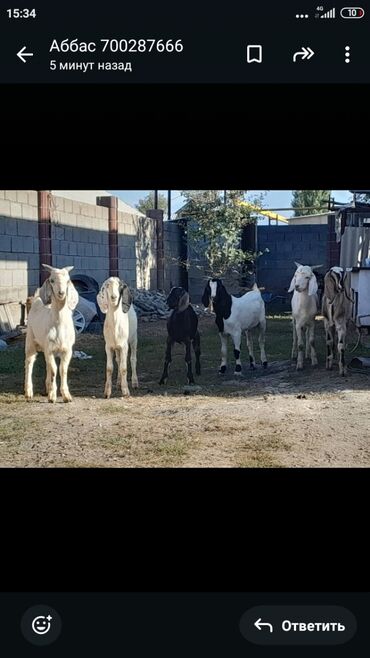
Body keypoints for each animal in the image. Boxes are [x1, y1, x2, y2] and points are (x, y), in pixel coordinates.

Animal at [24, 264, 79, 402]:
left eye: (68, 280)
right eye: (52, 280)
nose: (61, 293)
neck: (59, 324)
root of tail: (37, 300)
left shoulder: (67, 350)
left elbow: (62, 369)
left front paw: (66, 396)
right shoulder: (49, 349)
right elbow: (54, 369)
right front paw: (53, 396)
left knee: (48, 365)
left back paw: (47, 388)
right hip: (30, 340)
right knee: (29, 362)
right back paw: (29, 392)